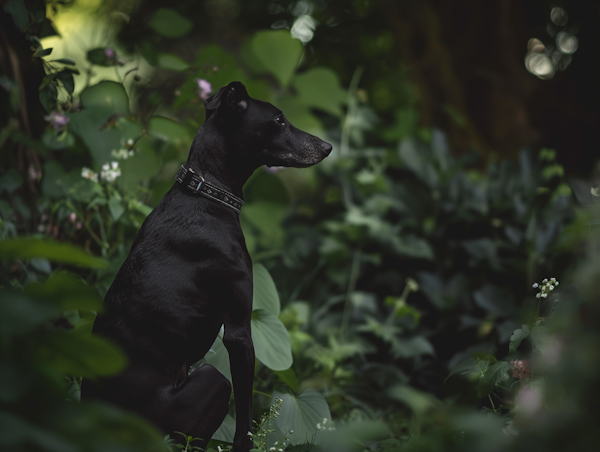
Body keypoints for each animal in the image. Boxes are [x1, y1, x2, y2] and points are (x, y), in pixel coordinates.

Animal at [85, 82, 332, 452]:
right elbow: (244, 418)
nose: (327, 146)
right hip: (213, 382)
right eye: (278, 120)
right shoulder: (239, 333)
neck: (204, 193)